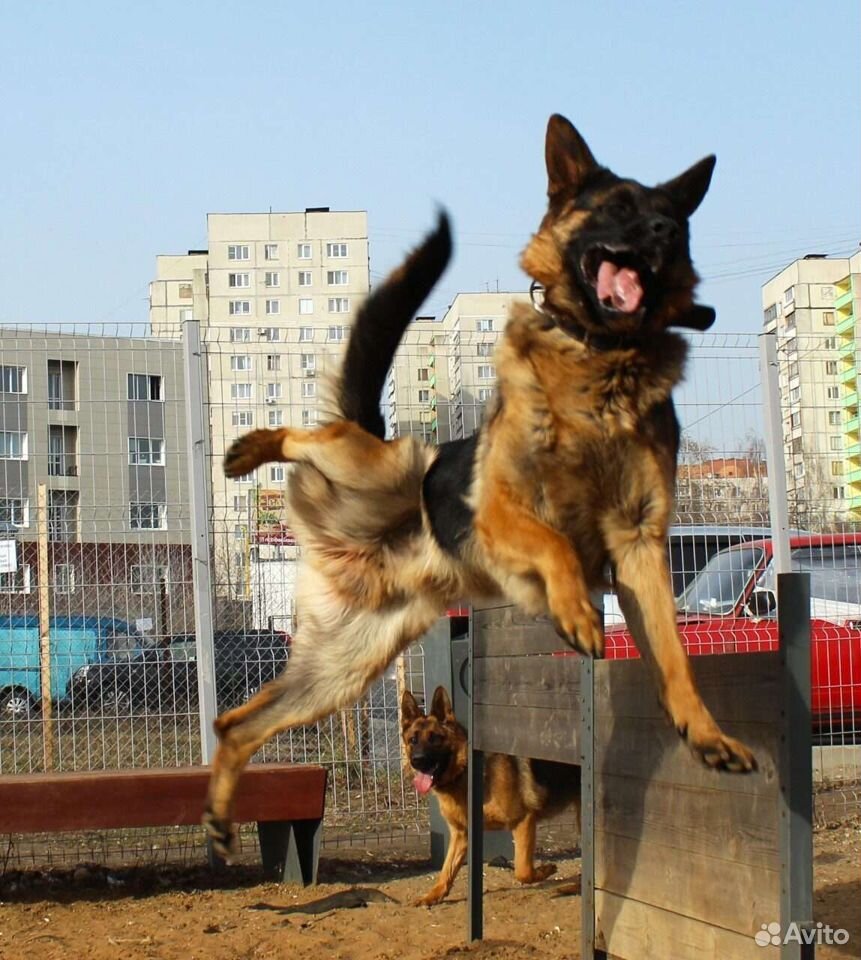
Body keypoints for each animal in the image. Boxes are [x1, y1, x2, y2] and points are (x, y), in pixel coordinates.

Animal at [205, 116, 756, 860]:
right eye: (618, 208)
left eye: (674, 219)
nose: (664, 233)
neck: (599, 363)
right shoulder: (500, 512)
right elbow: (555, 544)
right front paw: (575, 611)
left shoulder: (640, 546)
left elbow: (674, 659)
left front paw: (704, 733)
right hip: (383, 465)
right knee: (317, 434)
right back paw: (251, 447)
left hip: (343, 671)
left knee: (235, 724)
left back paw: (219, 816)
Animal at [402, 688, 576, 904]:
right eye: (413, 740)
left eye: (435, 738)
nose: (417, 760)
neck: (464, 771)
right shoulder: (461, 834)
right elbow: (446, 869)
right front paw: (433, 896)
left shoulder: (523, 821)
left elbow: (522, 870)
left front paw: (545, 870)